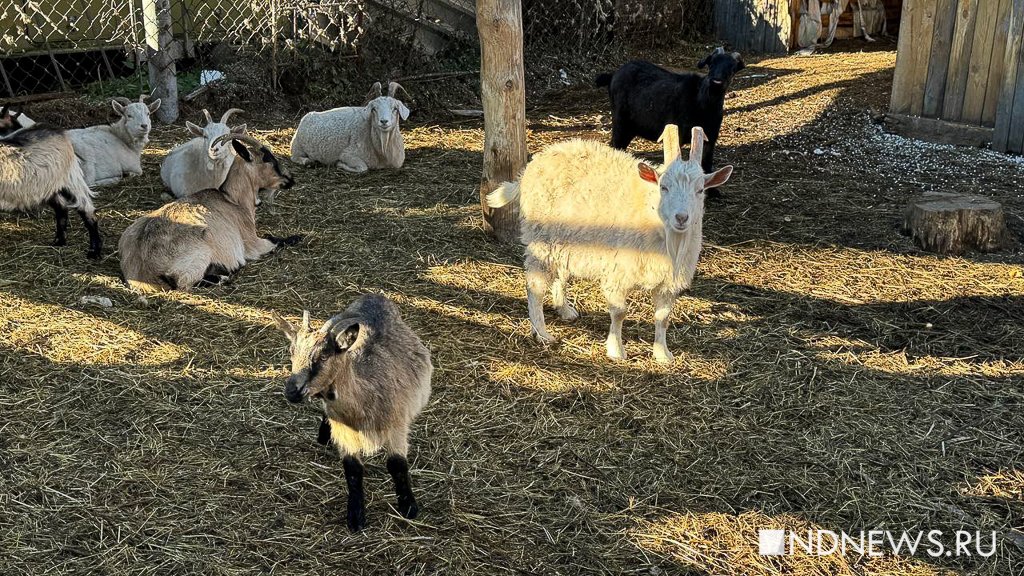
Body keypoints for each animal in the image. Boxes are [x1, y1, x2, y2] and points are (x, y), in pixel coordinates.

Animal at [118, 134, 299, 291]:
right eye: (269, 159)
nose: (290, 180)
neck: (233, 201)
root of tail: (143, 270)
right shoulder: (252, 243)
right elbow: (274, 240)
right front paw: (297, 237)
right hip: (200, 255)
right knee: (182, 282)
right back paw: (224, 275)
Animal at [272, 293, 432, 532]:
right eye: (292, 352)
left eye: (324, 356)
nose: (292, 390)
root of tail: (374, 296)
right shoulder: (343, 429)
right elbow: (353, 469)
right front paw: (356, 517)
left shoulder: (397, 424)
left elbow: (397, 465)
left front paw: (408, 507)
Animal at [485, 127, 733, 360]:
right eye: (664, 187)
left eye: (700, 190)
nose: (681, 218)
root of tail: (532, 165)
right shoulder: (618, 272)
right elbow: (619, 312)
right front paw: (616, 350)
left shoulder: (668, 281)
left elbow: (662, 317)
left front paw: (663, 354)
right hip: (541, 240)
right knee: (534, 286)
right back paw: (541, 333)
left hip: (564, 242)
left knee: (561, 274)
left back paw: (564, 309)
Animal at [593, 47, 745, 194]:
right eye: (711, 63)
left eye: (732, 68)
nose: (716, 81)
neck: (703, 104)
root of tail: (613, 75)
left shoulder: (711, 138)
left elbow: (707, 164)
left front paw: (713, 191)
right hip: (620, 123)